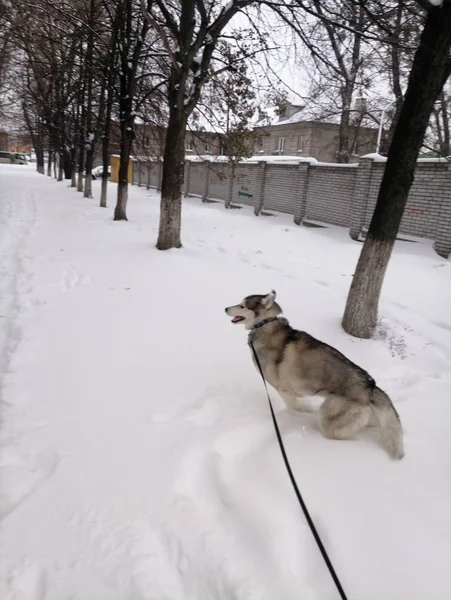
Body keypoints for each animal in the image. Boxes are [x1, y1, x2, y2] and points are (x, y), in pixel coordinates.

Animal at [226, 290, 406, 460]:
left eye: (242, 305)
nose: (225, 308)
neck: (264, 325)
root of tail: (370, 385)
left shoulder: (283, 389)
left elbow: (294, 407)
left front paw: (299, 413)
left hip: (329, 417)